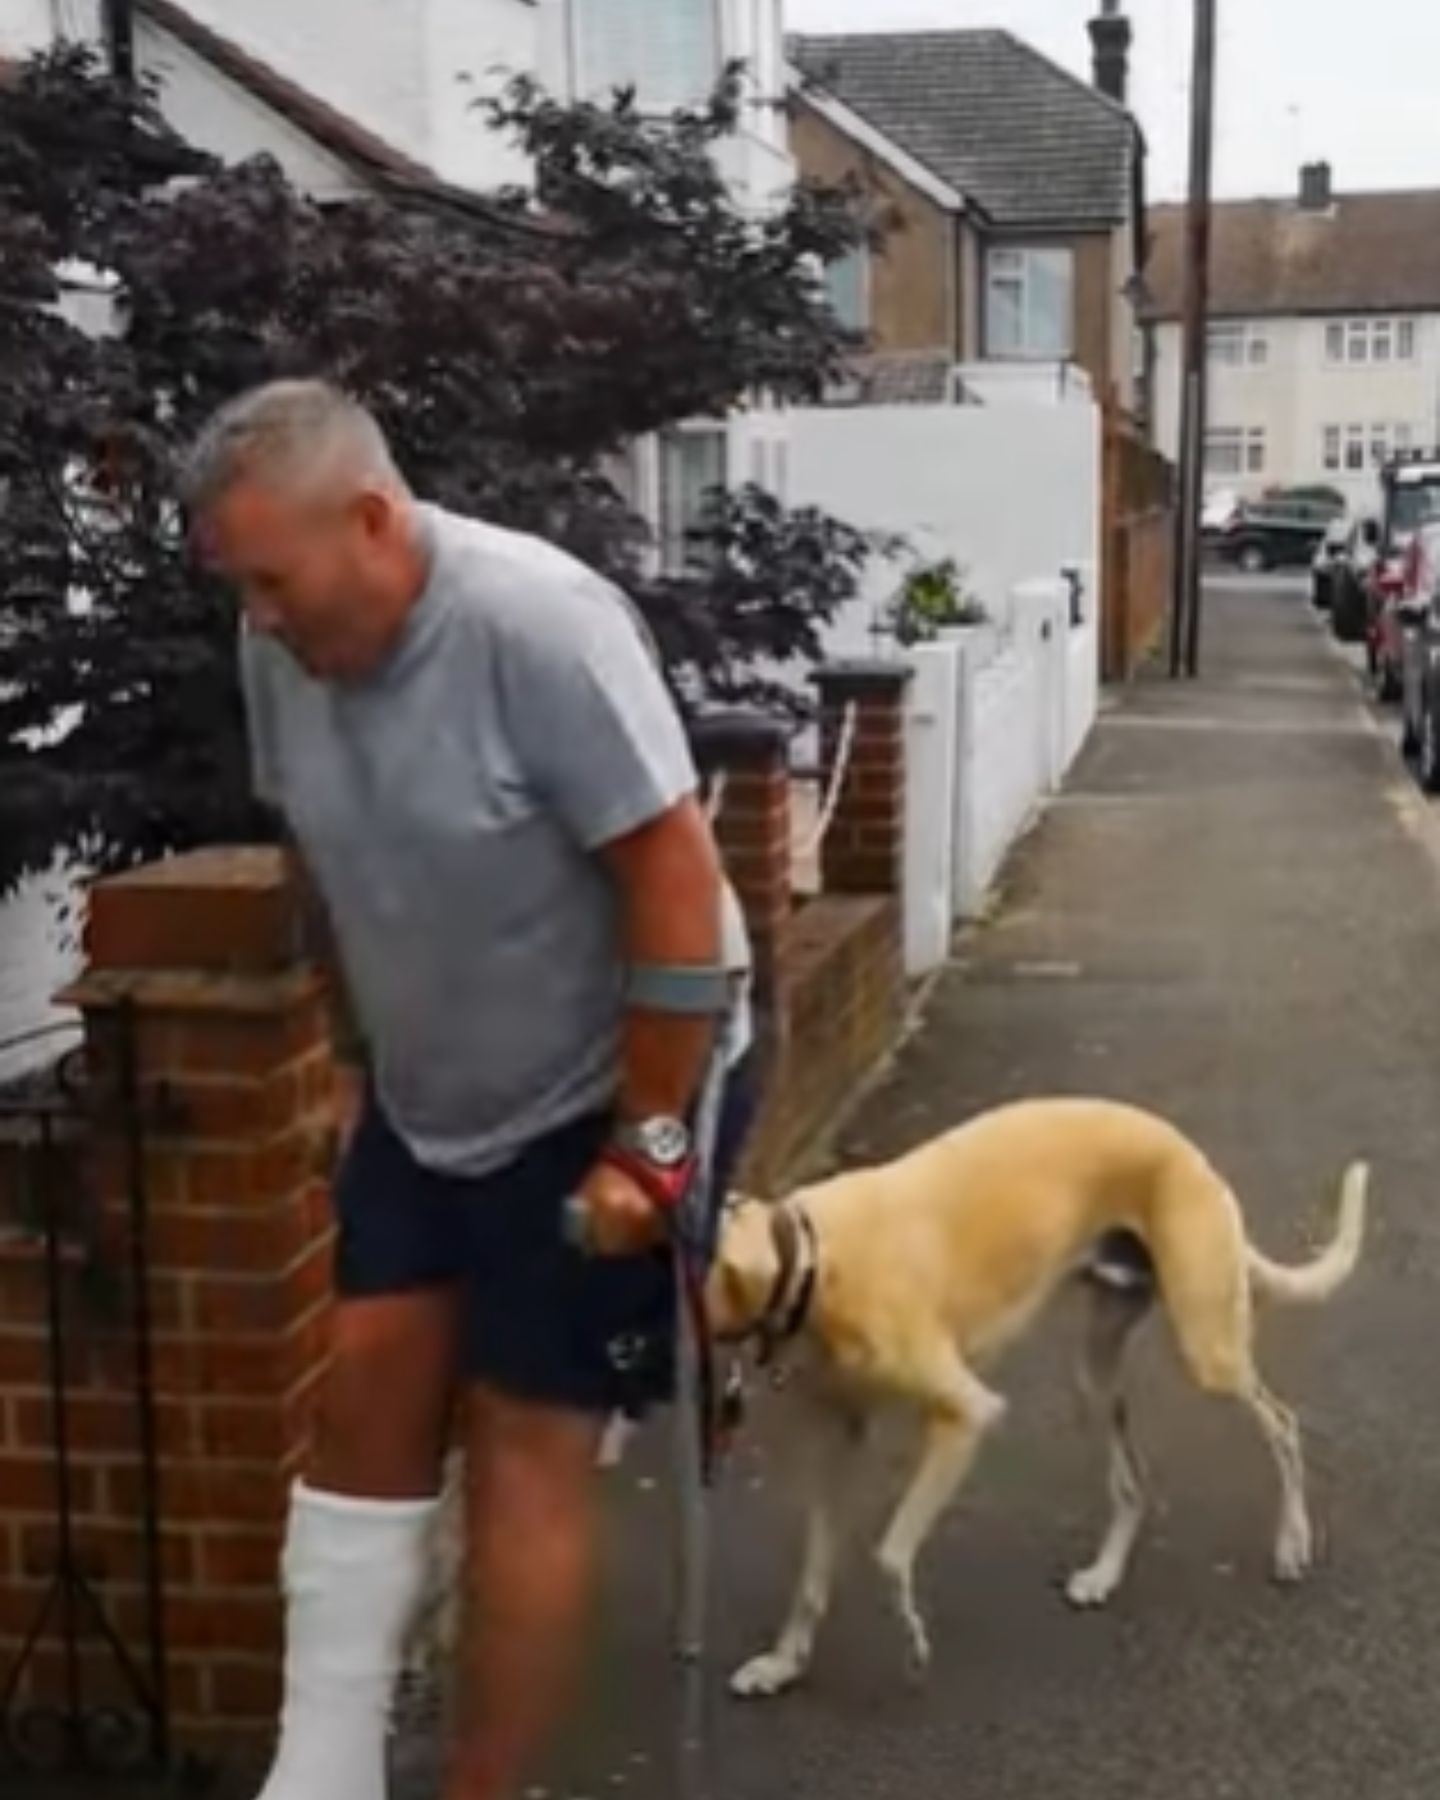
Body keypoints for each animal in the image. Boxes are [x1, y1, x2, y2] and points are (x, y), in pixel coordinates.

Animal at [709, 1094, 1375, 1699]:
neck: (812, 1258)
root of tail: (1182, 1146)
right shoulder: (837, 1439)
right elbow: (811, 1577)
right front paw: (783, 1664)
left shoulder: (967, 1415)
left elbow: (891, 1555)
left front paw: (912, 1643)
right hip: (1094, 1372)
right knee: (1132, 1482)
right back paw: (1104, 1575)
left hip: (1208, 1350)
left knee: (1282, 1423)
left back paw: (1291, 1543)